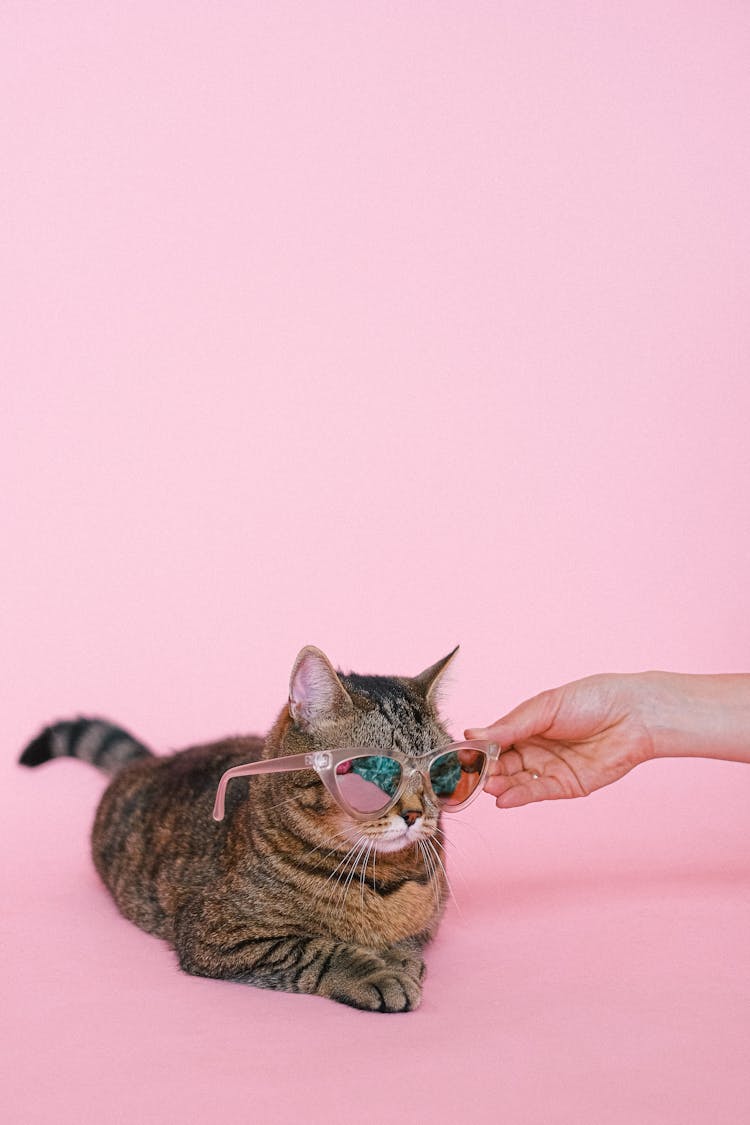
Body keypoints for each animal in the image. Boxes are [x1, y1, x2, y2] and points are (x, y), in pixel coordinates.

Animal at [20, 648, 458, 1017]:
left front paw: (398, 956)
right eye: (372, 772)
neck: (385, 876)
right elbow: (318, 950)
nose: (415, 814)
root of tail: (155, 760)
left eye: (439, 771)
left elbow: (407, 938)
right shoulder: (218, 934)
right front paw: (378, 972)